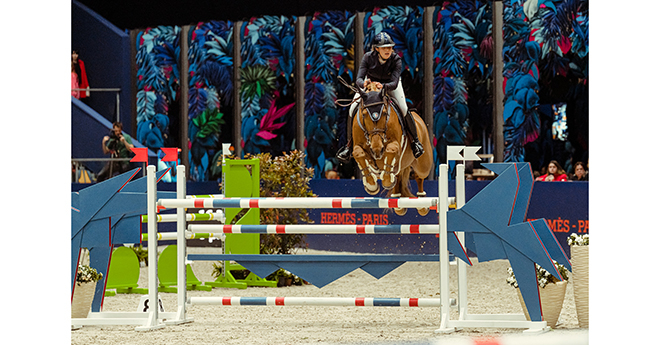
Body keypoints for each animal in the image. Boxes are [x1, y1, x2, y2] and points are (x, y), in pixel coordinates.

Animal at [340, 78, 434, 215]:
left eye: (384, 113)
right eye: (364, 114)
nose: (377, 151)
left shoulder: (395, 145)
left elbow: (391, 149)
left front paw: (385, 180)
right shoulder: (358, 146)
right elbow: (358, 153)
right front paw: (371, 185)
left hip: (423, 164)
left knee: (419, 176)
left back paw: (422, 203)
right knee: (399, 177)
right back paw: (398, 203)